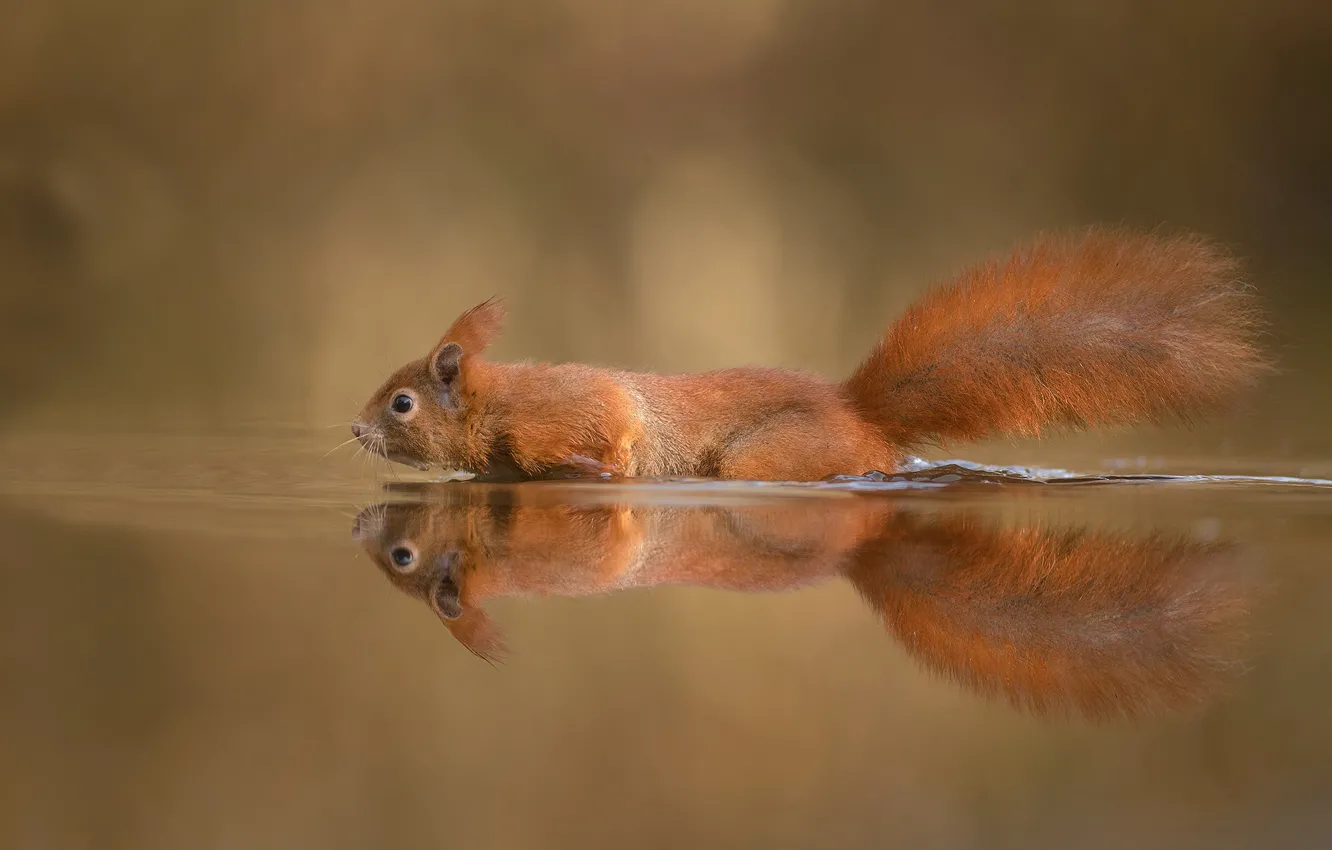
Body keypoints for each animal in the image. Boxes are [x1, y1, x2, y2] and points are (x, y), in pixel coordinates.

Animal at [351, 226, 1268, 482]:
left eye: (402, 402)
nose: (354, 431)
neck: (495, 406)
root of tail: (858, 412)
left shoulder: (562, 412)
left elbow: (607, 431)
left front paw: (595, 466)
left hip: (769, 455)